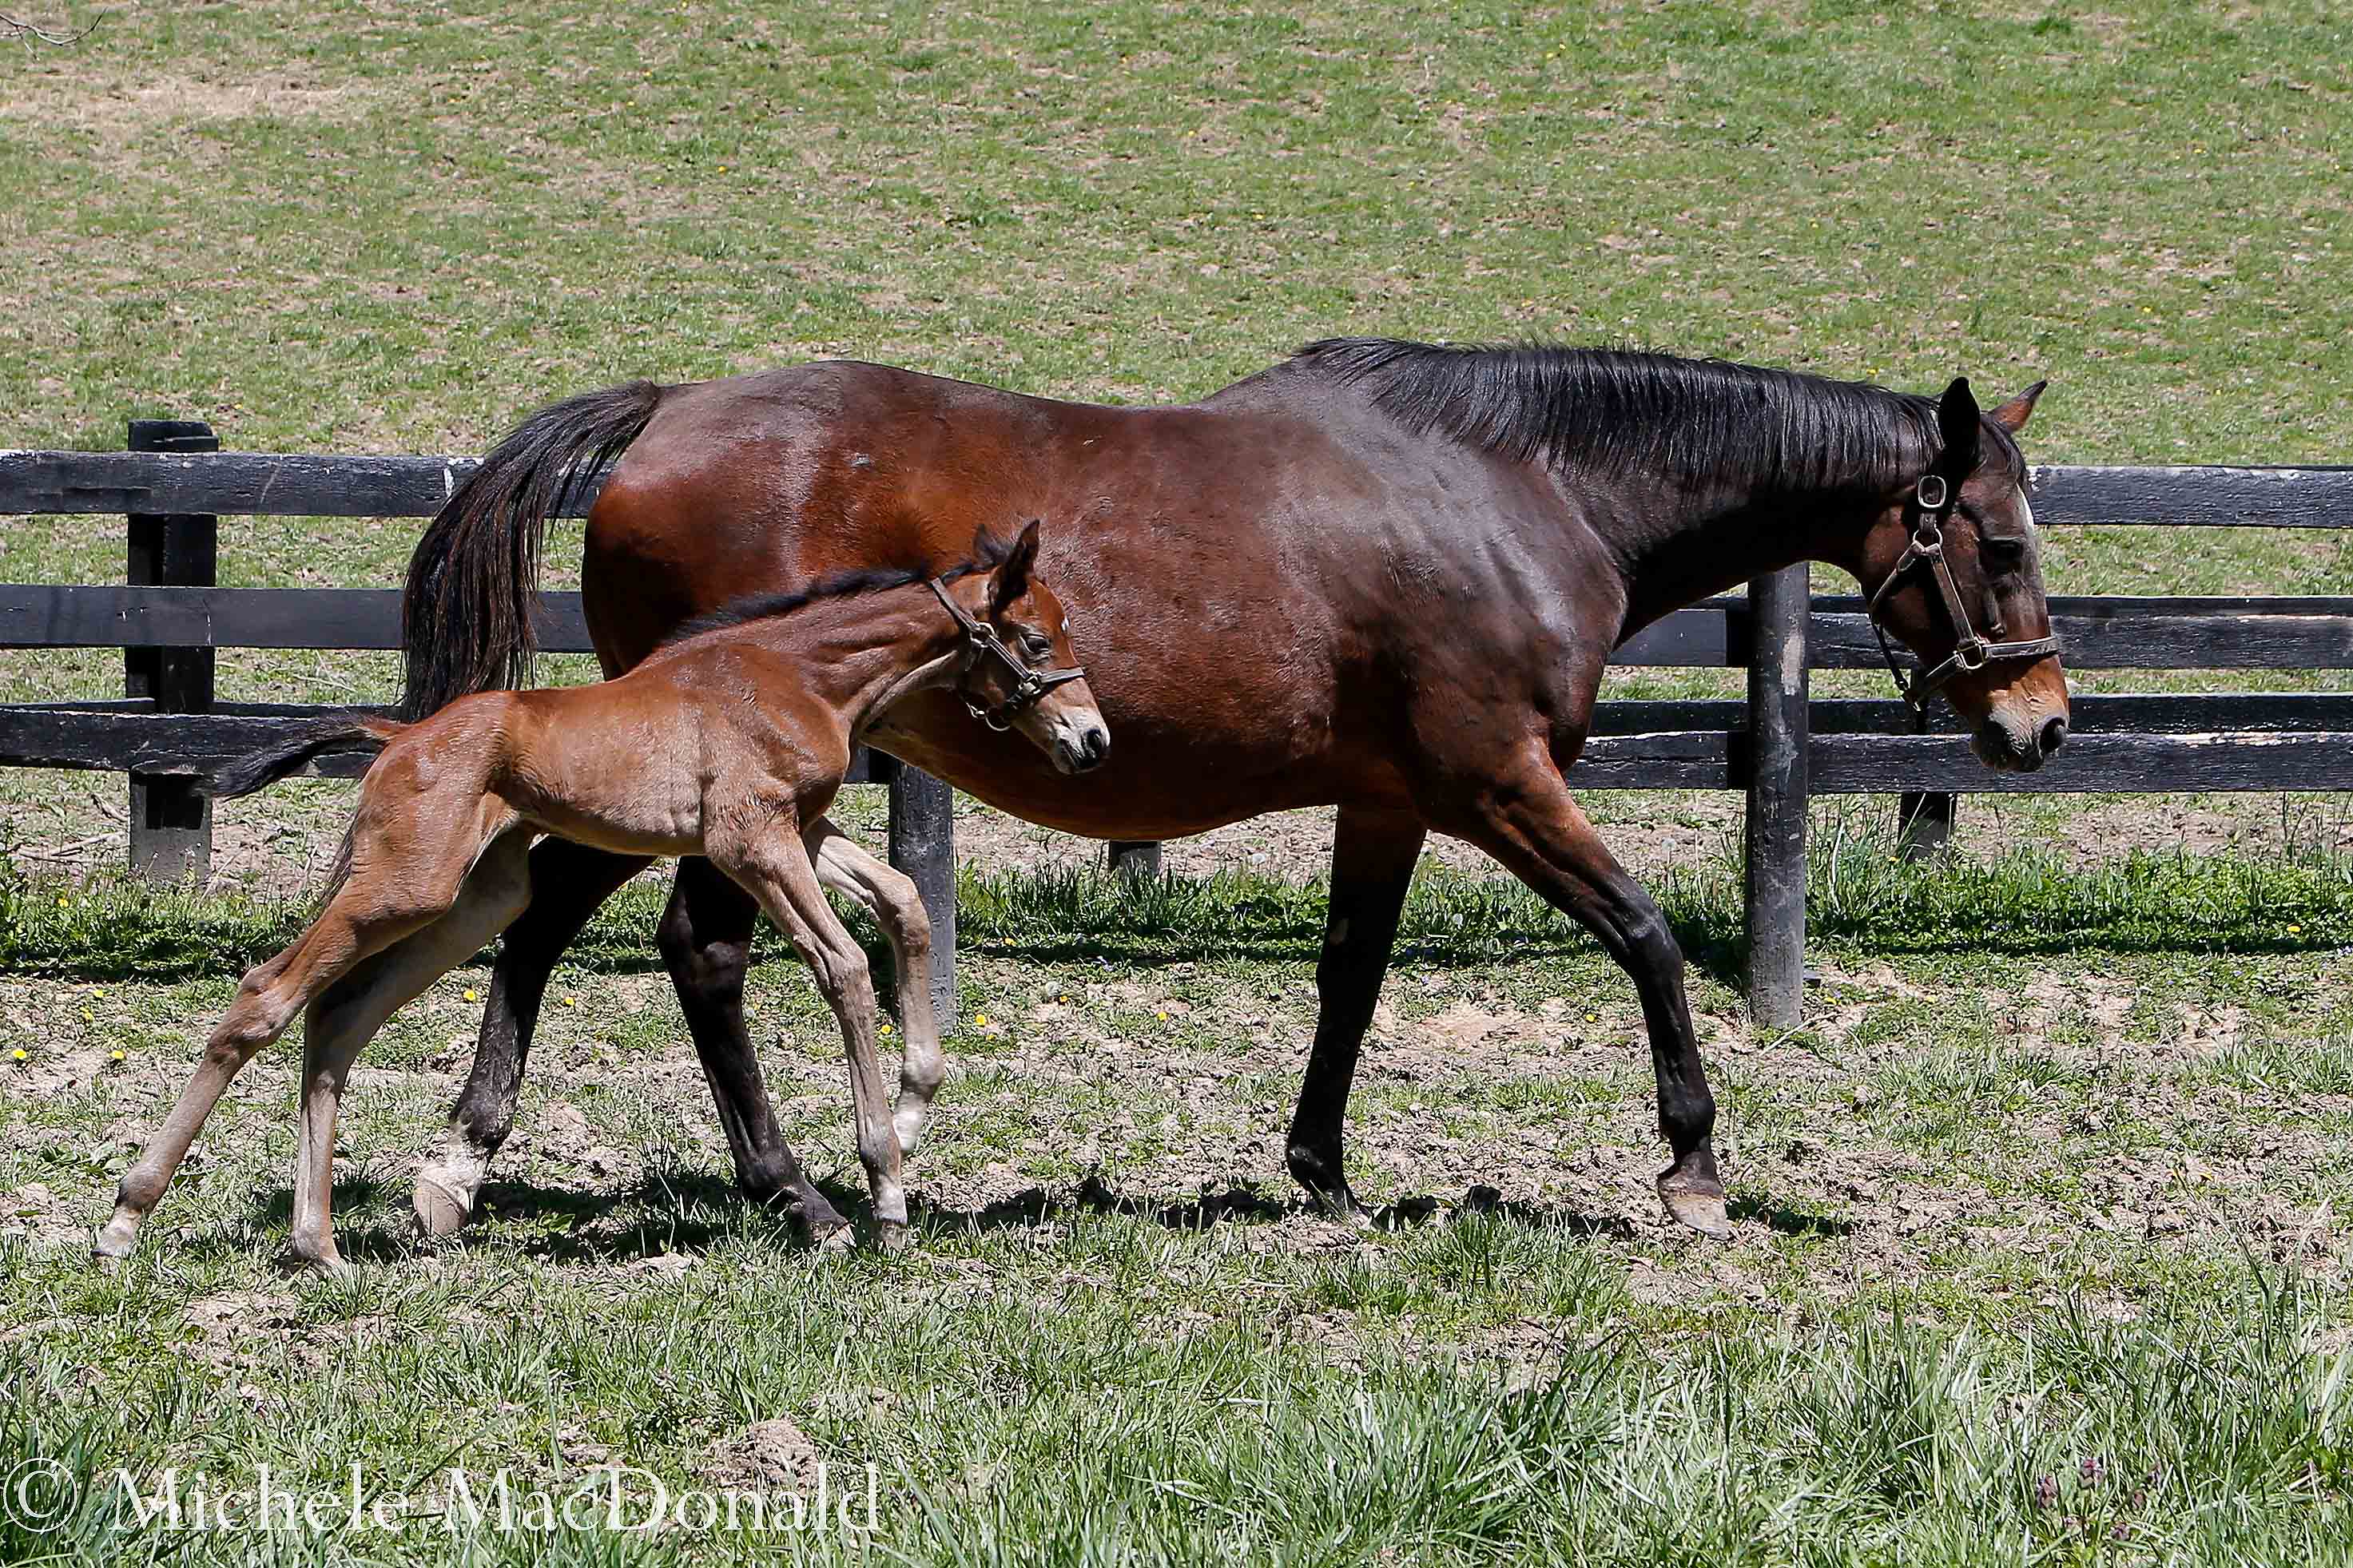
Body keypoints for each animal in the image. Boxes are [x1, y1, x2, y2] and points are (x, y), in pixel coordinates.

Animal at [91, 526, 1101, 1279]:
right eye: (1037, 640)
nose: (1091, 740)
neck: (795, 676)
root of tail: (399, 735)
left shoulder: (798, 830)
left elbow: (905, 902)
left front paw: (918, 1097)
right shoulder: (750, 841)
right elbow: (843, 964)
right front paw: (884, 1189)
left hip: (471, 900)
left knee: (339, 1017)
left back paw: (319, 1244)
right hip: (403, 885)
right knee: (267, 994)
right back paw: (126, 1218)